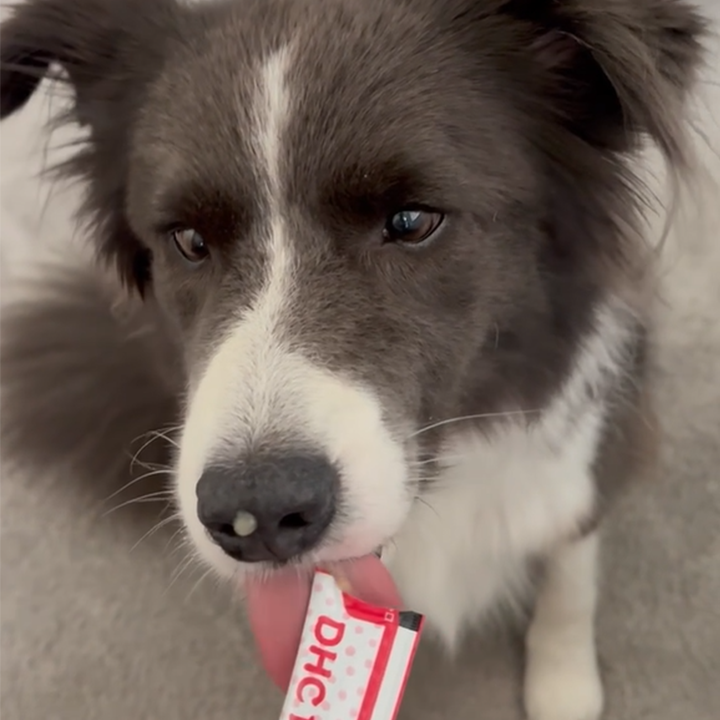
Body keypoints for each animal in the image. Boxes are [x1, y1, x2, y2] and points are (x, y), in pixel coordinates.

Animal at [0, 1, 708, 718]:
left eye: (412, 221)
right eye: (189, 240)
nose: (257, 517)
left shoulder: (592, 456)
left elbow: (572, 572)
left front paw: (563, 679)